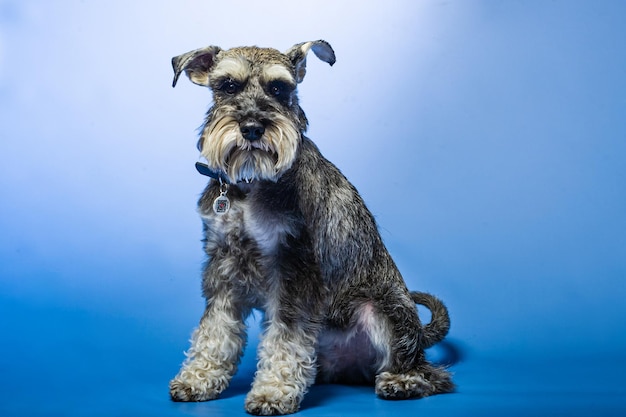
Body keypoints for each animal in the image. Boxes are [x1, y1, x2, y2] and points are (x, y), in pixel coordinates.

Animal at [168, 38, 450, 412]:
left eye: (279, 88)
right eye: (228, 85)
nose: (253, 128)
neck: (250, 186)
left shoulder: (294, 268)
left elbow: (286, 335)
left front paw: (273, 391)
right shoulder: (222, 265)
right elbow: (215, 328)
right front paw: (199, 377)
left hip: (385, 310)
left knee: (428, 371)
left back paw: (402, 380)